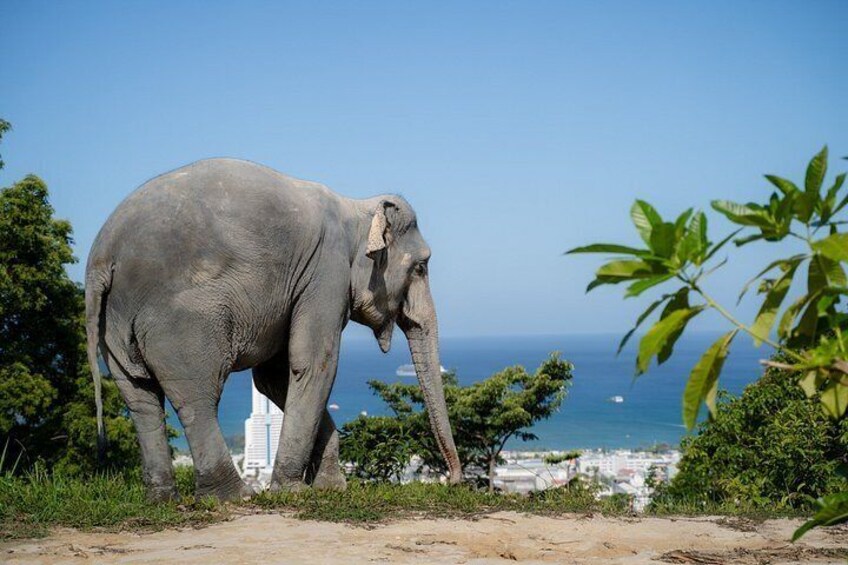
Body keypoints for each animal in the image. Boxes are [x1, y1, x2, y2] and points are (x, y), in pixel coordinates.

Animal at [85, 158, 462, 501]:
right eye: (421, 267)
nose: (455, 482)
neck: (355, 208)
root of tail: (101, 259)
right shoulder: (325, 275)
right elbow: (313, 364)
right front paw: (293, 491)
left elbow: (275, 379)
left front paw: (330, 487)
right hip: (181, 320)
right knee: (197, 397)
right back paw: (234, 497)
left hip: (112, 326)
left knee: (140, 398)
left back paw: (163, 499)